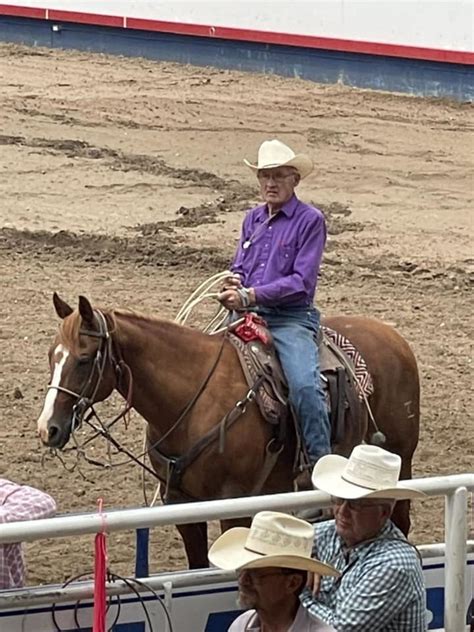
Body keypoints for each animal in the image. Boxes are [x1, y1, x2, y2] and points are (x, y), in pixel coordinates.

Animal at [37, 294, 420, 572]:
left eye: (84, 359)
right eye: (51, 355)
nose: (47, 428)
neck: (193, 399)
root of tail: (395, 337)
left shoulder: (233, 505)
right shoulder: (181, 504)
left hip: (401, 459)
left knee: (399, 519)